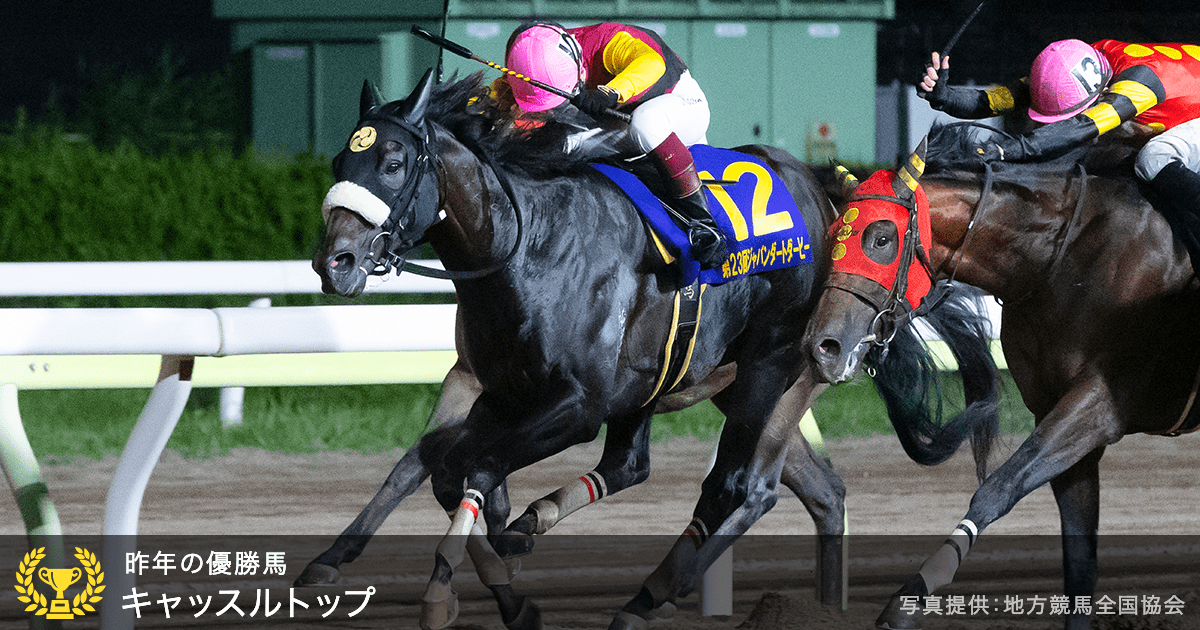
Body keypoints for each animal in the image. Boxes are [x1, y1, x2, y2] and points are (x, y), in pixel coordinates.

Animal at [309, 68, 992, 630]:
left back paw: (649, 597)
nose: (334, 261)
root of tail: (827, 199)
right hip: (711, 381)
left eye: (393, 162)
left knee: (740, 485)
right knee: (790, 488)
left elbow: (467, 466)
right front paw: (487, 568)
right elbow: (438, 464)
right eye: (343, 156)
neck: (527, 246)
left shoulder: (575, 406)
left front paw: (469, 587)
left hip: (779, 367)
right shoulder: (492, 385)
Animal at [802, 123, 1200, 630]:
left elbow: (999, 487)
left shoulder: (1100, 402)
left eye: (881, 238)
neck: (1063, 258)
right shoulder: (1057, 408)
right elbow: (1079, 556)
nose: (823, 346)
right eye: (835, 233)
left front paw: (908, 599)